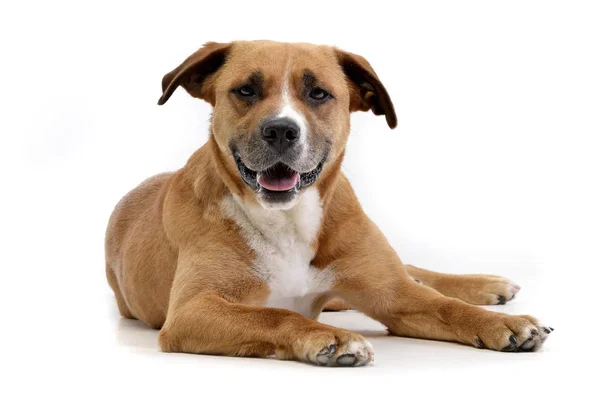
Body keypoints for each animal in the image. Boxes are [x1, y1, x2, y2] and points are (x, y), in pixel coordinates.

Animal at [105, 39, 552, 366]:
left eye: (319, 93)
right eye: (245, 90)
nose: (281, 130)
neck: (288, 220)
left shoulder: (393, 293)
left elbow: (446, 307)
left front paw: (500, 322)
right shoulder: (193, 309)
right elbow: (275, 314)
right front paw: (331, 338)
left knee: (414, 273)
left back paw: (488, 286)